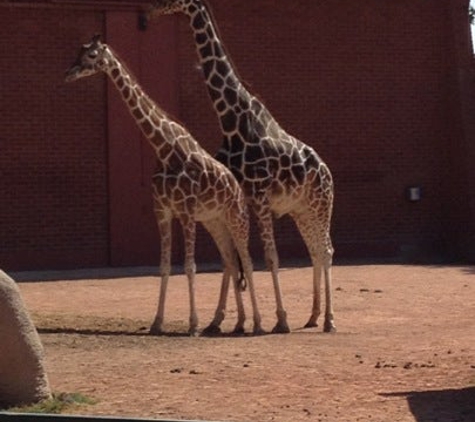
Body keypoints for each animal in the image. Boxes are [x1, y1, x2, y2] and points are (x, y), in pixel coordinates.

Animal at [65, 34, 264, 336]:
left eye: (92, 56)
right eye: (79, 51)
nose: (69, 73)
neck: (164, 148)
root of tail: (239, 190)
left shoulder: (187, 211)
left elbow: (190, 266)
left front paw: (192, 325)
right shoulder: (163, 211)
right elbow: (165, 266)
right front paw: (157, 322)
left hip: (237, 217)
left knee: (248, 262)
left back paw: (258, 322)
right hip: (215, 221)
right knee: (230, 261)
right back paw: (234, 322)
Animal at [147, 1, 336, 334]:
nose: (151, 10)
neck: (232, 120)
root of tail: (328, 172)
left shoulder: (258, 197)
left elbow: (269, 257)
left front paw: (279, 320)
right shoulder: (238, 199)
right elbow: (233, 260)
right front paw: (224, 320)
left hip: (321, 205)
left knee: (326, 251)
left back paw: (329, 319)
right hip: (302, 211)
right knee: (315, 250)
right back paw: (313, 316)